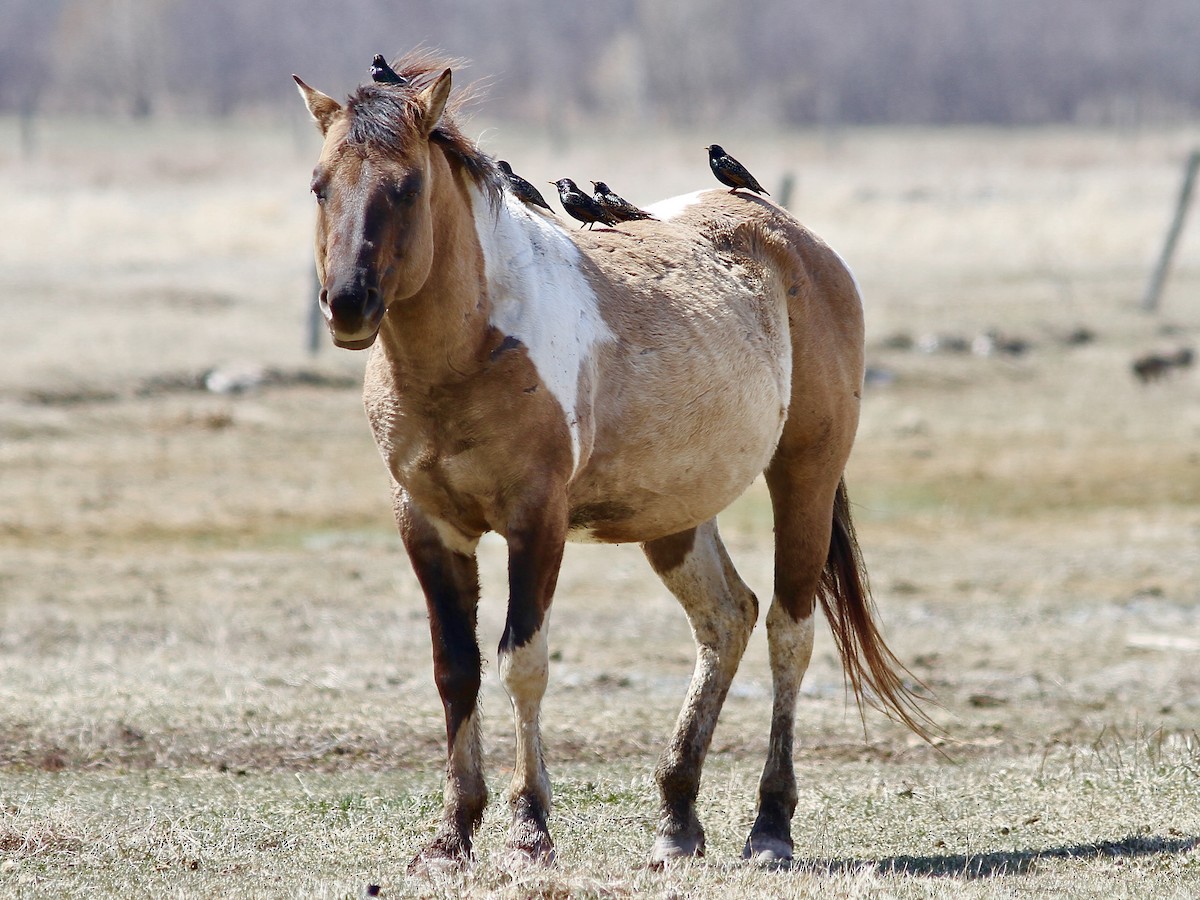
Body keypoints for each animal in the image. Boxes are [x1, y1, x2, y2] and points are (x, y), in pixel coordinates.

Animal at [292, 51, 926, 873]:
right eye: (319, 183)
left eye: (407, 187)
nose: (347, 304)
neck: (471, 348)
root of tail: (789, 231)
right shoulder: (427, 524)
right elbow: (455, 668)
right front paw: (452, 834)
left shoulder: (536, 521)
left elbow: (522, 661)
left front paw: (529, 831)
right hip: (676, 515)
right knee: (728, 618)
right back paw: (677, 821)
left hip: (805, 478)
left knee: (791, 633)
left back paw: (770, 827)